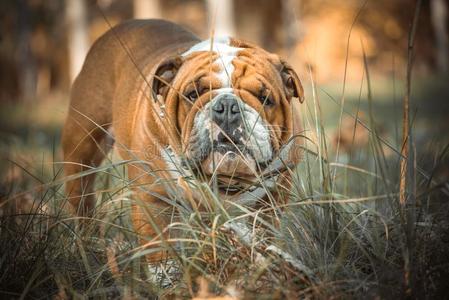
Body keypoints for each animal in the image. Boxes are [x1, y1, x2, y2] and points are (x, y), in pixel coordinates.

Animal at [60, 19, 304, 262]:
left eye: (265, 98)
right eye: (193, 94)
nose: (227, 107)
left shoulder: (271, 200)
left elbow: (261, 235)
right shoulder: (154, 197)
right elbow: (160, 249)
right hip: (83, 144)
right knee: (80, 191)